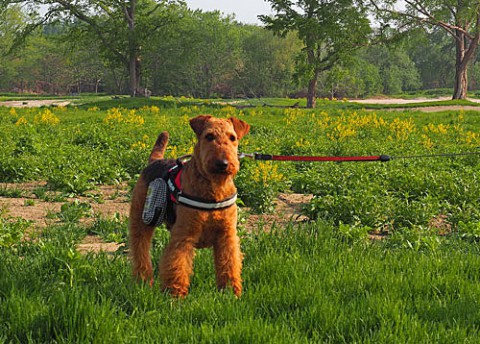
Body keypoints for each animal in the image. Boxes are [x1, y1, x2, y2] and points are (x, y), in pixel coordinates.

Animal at [130, 114, 251, 296]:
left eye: (232, 138)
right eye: (209, 136)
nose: (223, 164)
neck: (214, 188)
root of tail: (155, 161)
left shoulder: (227, 235)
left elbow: (229, 264)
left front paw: (230, 291)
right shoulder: (183, 236)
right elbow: (177, 265)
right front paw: (175, 294)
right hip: (142, 219)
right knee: (140, 249)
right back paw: (143, 280)